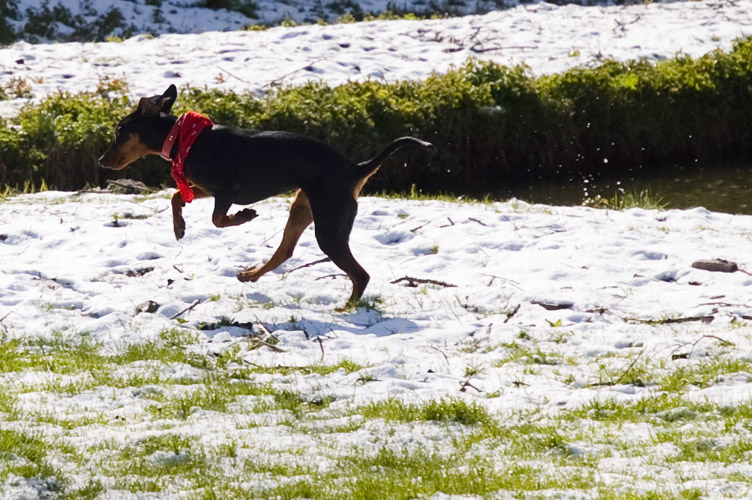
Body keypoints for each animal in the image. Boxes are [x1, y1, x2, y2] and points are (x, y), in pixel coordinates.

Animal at [100, 86, 434, 308]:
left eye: (119, 132)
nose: (102, 160)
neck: (185, 139)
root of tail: (356, 168)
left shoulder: (226, 190)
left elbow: (218, 219)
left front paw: (243, 216)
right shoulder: (205, 188)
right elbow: (176, 198)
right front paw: (179, 228)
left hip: (329, 224)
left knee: (360, 275)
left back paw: (346, 308)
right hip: (303, 208)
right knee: (285, 252)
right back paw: (250, 275)